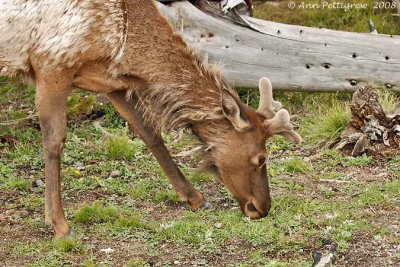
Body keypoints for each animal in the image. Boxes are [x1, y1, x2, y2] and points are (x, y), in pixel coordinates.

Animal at [0, 0, 300, 239]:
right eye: (261, 158)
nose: (262, 208)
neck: (123, 41)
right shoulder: (52, 62)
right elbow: (54, 142)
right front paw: (60, 224)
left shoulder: (112, 83)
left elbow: (150, 134)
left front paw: (195, 198)